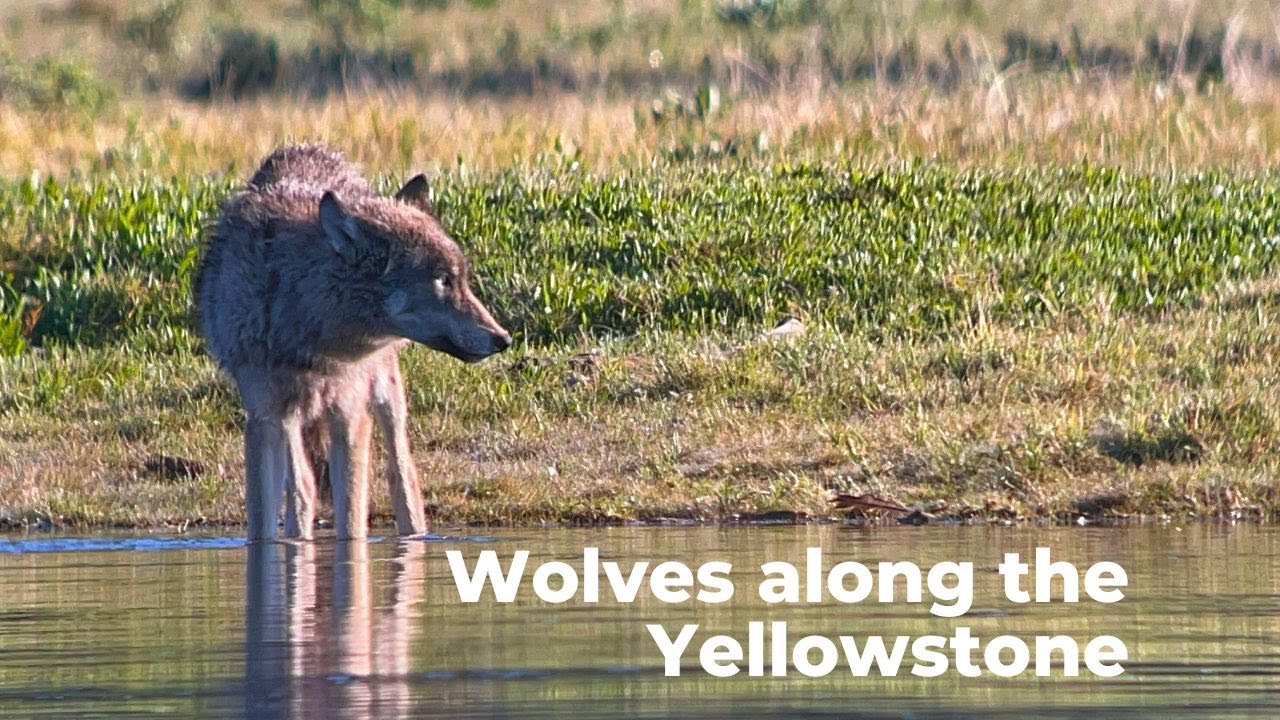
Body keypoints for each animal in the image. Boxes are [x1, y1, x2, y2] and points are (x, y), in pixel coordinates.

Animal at [196, 145, 511, 541]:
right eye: (443, 280)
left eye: (462, 280)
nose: (503, 338)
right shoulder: (263, 418)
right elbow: (264, 528)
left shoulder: (349, 414)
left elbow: (352, 524)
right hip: (292, 420)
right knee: (303, 485)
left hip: (385, 396)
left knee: (402, 476)